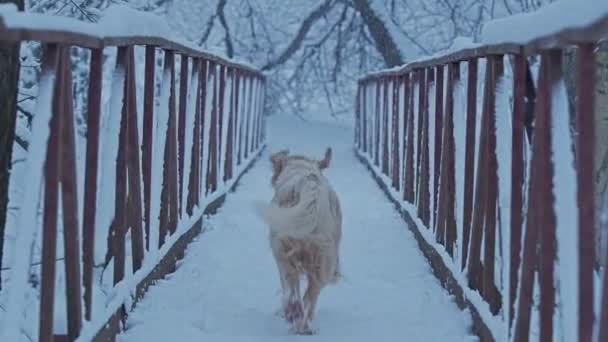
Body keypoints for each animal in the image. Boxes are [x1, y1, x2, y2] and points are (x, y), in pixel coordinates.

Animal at [254, 148, 344, 334]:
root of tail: (308, 183)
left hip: (284, 252)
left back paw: (293, 316)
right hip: (323, 262)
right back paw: (303, 325)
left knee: (295, 292)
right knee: (309, 297)